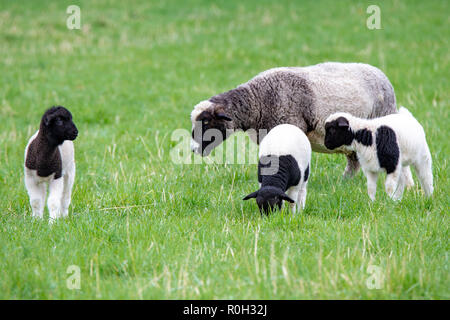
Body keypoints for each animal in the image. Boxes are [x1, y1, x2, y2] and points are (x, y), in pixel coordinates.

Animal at [188, 61, 414, 186]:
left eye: (206, 121)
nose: (192, 149)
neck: (259, 99)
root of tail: (381, 74)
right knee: (353, 162)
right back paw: (344, 183)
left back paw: (409, 186)